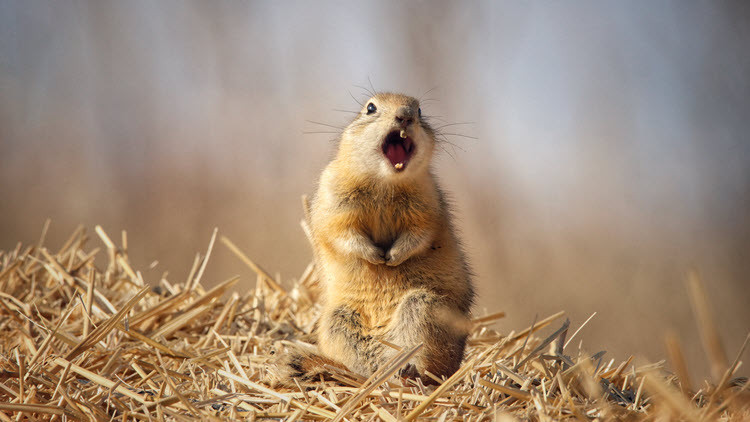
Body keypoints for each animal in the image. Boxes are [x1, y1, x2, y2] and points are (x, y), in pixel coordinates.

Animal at [277, 92, 474, 385]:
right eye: (370, 108)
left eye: (420, 110)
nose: (405, 115)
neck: (384, 183)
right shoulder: (335, 205)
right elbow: (343, 234)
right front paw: (376, 257)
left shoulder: (428, 207)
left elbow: (419, 235)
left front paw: (391, 257)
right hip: (338, 321)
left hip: (423, 309)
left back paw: (408, 372)